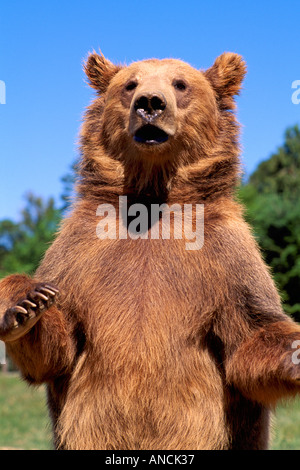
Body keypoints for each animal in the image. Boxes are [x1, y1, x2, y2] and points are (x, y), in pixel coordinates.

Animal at [0, 49, 300, 450]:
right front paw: (27, 302)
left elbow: (249, 337)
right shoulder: (80, 250)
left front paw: (297, 352)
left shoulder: (228, 257)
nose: (150, 103)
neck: (152, 197)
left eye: (180, 84)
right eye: (130, 85)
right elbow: (58, 347)